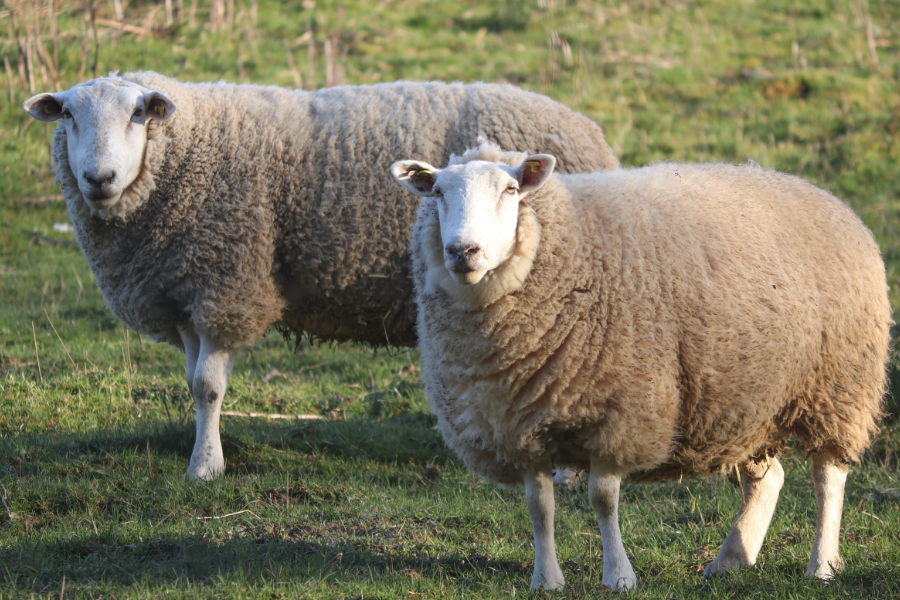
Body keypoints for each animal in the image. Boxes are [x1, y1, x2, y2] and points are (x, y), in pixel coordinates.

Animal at [24, 71, 624, 482]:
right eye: (68, 116)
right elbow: (195, 384)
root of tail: (592, 133)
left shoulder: (227, 283)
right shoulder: (189, 289)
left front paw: (205, 469)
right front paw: (202, 454)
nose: (98, 177)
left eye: (137, 115)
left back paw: (566, 469)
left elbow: (210, 386)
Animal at [390, 142, 888, 592]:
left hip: (839, 386)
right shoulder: (519, 425)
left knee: (828, 478)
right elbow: (539, 506)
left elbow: (603, 499)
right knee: (768, 480)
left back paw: (821, 564)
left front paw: (618, 576)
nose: (463, 251)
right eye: (438, 192)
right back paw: (730, 559)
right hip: (748, 398)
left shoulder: (620, 412)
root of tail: (822, 194)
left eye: (511, 190)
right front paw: (546, 579)